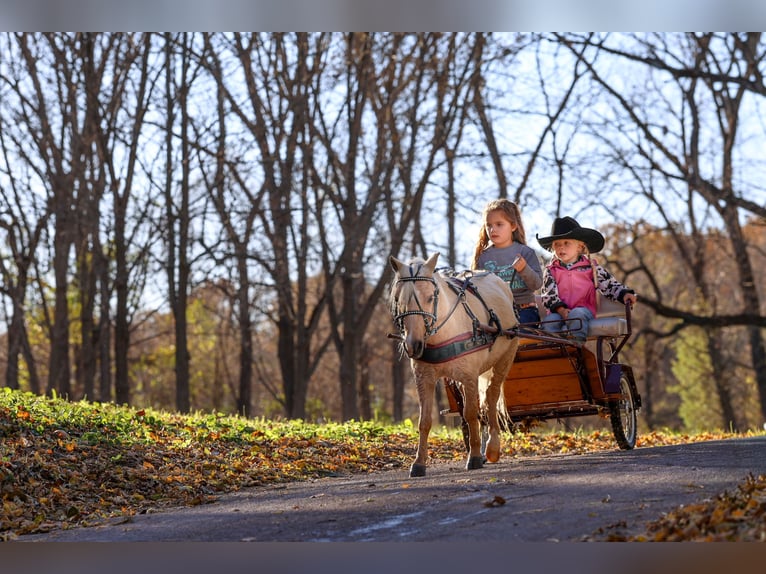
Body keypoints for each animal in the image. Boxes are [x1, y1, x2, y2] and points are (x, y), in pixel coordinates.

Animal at [389, 252, 519, 477]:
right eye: (398, 300)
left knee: (491, 398)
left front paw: (474, 456)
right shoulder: (424, 377)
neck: (443, 333)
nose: (413, 345)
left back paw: (492, 448)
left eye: (430, 297)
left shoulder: (469, 376)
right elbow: (425, 421)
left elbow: (470, 413)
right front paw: (419, 462)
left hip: (505, 357)